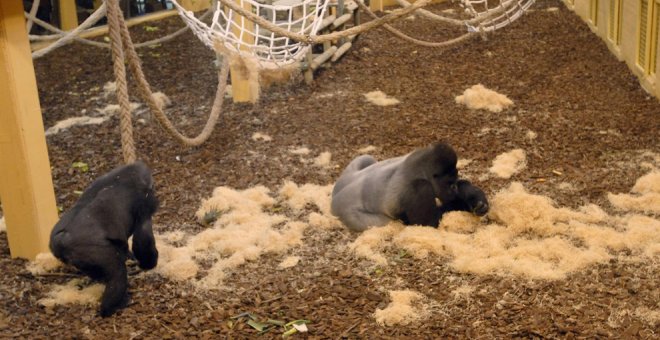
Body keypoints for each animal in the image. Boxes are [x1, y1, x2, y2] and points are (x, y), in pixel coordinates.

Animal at [48, 161, 159, 318]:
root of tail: (62, 238)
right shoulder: (144, 201)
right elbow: (143, 239)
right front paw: (149, 264)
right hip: (90, 249)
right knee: (117, 274)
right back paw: (112, 306)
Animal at [332, 142, 488, 232]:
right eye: (449, 183)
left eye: (454, 182)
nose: (454, 189)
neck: (420, 170)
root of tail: (332, 201)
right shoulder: (421, 187)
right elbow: (429, 224)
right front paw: (464, 202)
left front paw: (472, 195)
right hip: (345, 213)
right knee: (384, 222)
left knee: (366, 158)